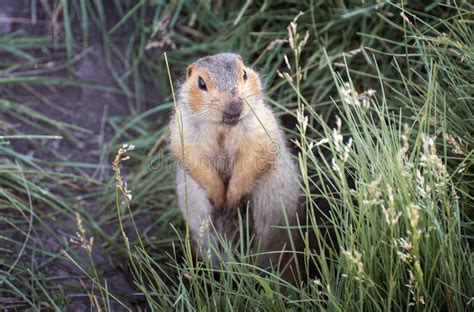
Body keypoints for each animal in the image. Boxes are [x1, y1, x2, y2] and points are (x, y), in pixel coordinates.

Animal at [168, 53, 298, 278]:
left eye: (244, 74)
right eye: (201, 83)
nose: (234, 107)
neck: (224, 127)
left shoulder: (259, 126)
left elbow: (253, 158)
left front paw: (231, 199)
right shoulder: (183, 129)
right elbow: (193, 158)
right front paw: (219, 198)